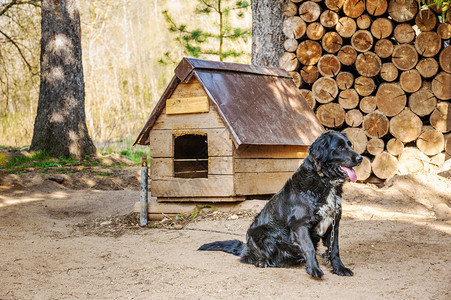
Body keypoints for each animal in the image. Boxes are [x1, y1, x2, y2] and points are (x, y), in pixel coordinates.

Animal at [198, 131, 364, 278]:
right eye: (340, 147)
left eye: (349, 145)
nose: (360, 158)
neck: (325, 181)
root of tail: (246, 245)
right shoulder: (300, 225)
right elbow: (309, 248)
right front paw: (314, 269)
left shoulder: (333, 223)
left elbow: (334, 249)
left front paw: (339, 268)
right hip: (259, 234)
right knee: (249, 257)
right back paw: (262, 262)